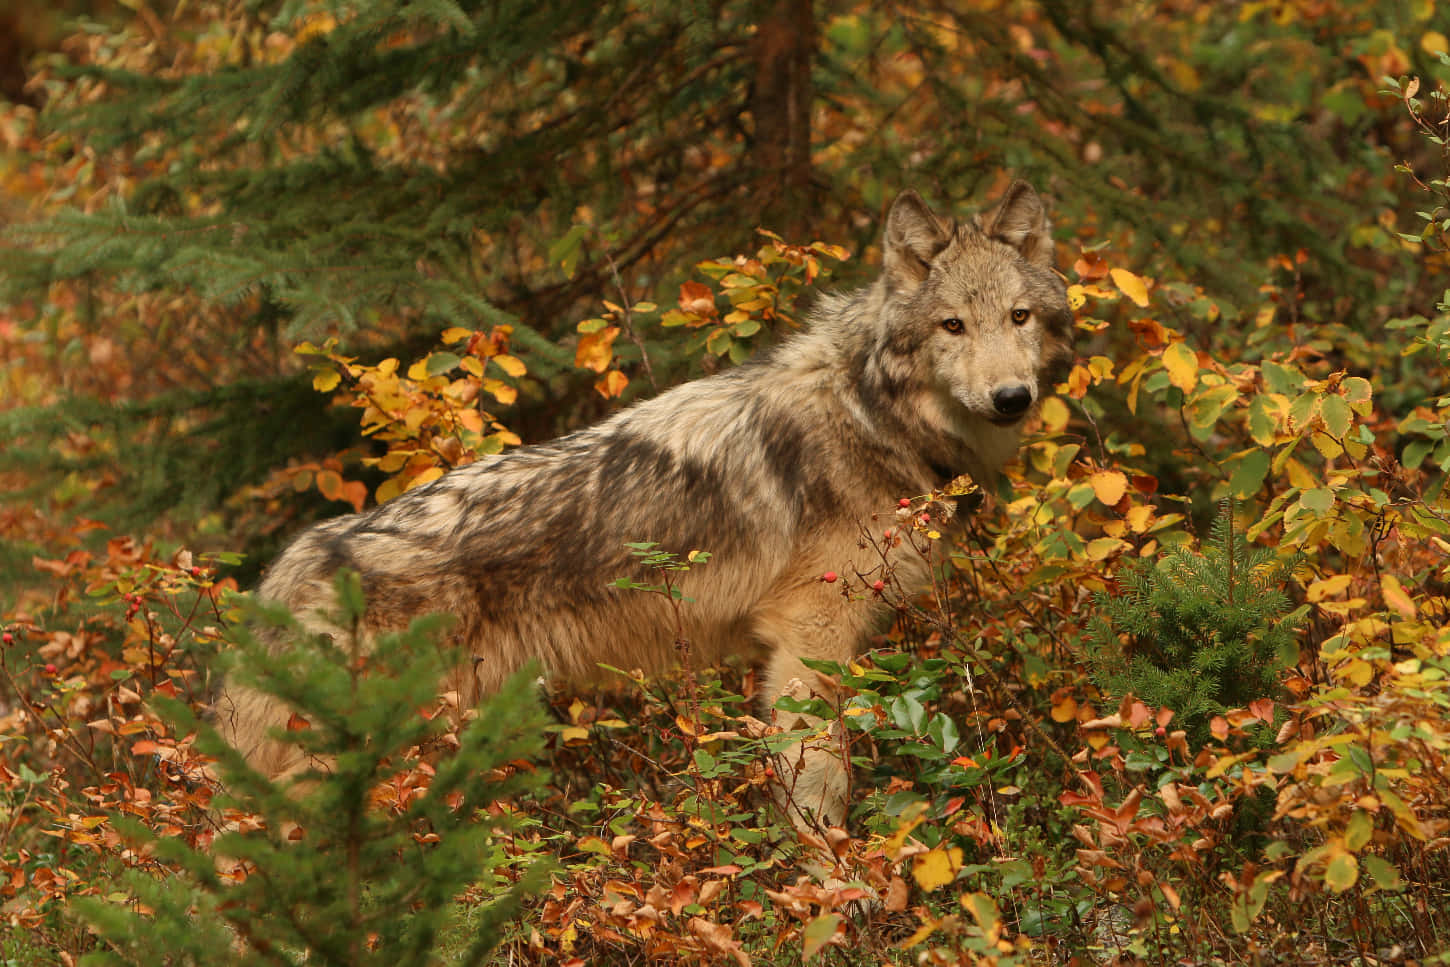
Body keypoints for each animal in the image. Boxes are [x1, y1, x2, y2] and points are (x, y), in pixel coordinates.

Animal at [217, 179, 1078, 840]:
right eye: (952, 325)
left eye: (1019, 318)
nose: (1011, 396)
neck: (871, 413)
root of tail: (301, 558)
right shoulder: (808, 641)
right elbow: (819, 787)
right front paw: (839, 888)